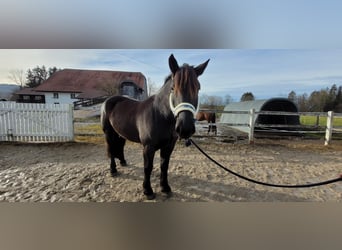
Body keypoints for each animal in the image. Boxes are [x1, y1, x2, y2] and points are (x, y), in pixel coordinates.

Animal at [100, 54, 210, 199]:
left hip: (120, 133)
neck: (160, 114)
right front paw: (148, 191)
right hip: (108, 133)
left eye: (198, 88)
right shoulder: (148, 147)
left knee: (120, 146)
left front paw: (165, 188)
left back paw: (123, 162)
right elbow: (148, 167)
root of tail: (108, 101)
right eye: (173, 88)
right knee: (111, 149)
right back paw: (113, 170)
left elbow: (164, 166)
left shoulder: (168, 146)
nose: (185, 128)